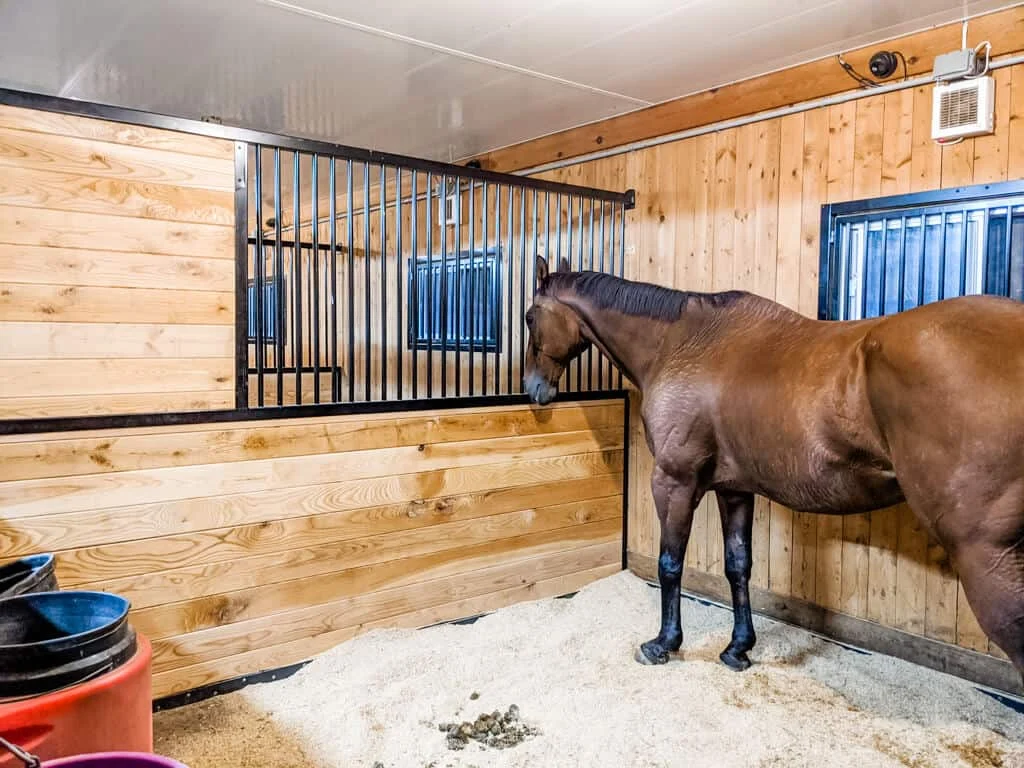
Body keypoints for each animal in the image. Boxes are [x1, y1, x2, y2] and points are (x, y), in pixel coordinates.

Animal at [522, 255, 1024, 684]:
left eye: (528, 317)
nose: (533, 388)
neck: (680, 342)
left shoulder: (675, 481)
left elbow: (670, 563)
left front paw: (663, 643)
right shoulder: (734, 488)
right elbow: (738, 566)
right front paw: (737, 649)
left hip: (987, 557)